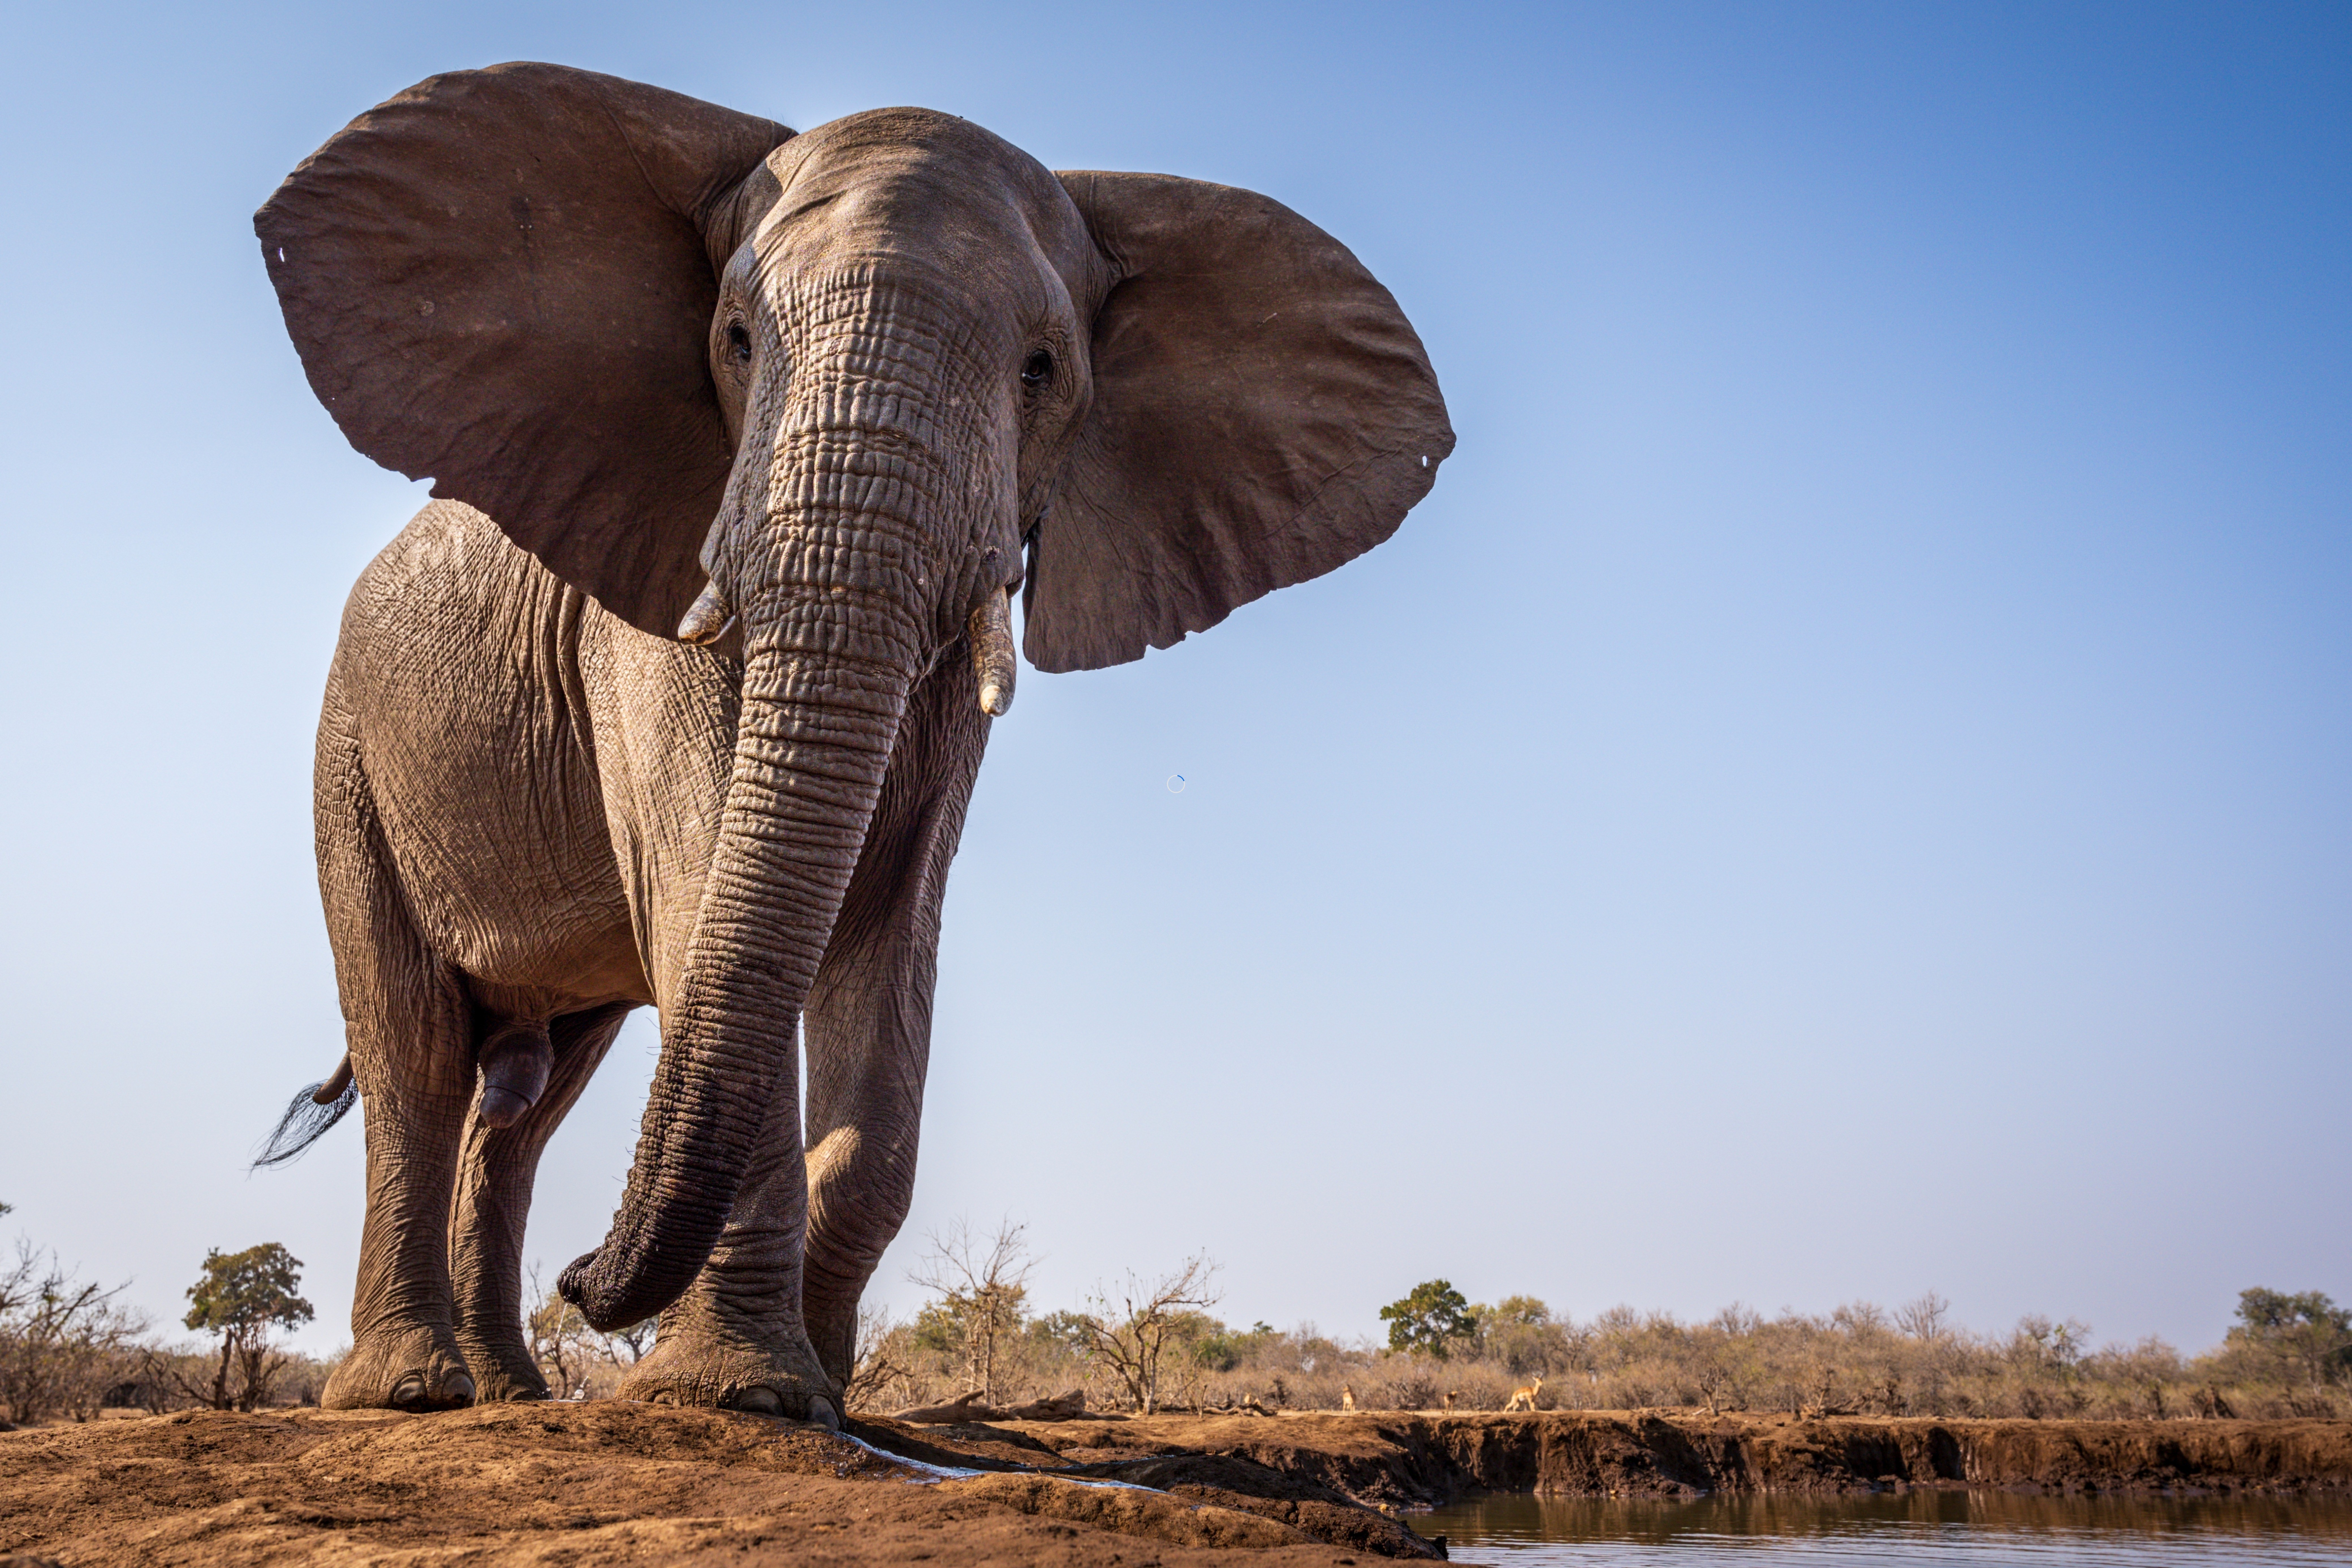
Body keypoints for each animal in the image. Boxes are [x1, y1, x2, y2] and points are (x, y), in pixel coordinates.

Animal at [253, 62, 1451, 1423]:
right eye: (733, 340)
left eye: (1042, 370)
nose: (584, 1276)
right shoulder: (651, 603)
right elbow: (703, 896)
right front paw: (738, 1394)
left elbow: (892, 934)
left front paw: (815, 1390)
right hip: (348, 754)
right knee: (414, 1051)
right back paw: (408, 1393)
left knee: (527, 1101)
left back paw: (510, 1394)